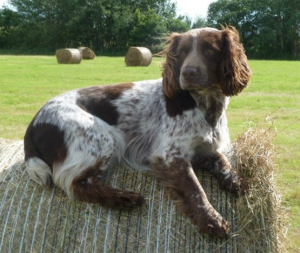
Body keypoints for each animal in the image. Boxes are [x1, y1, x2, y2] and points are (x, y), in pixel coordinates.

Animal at [24, 26, 252, 238]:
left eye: (210, 50)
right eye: (181, 52)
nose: (187, 73)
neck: (204, 105)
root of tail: (33, 123)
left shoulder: (204, 149)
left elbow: (224, 163)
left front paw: (238, 182)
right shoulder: (170, 156)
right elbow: (195, 188)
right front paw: (211, 219)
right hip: (104, 138)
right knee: (78, 183)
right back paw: (124, 198)